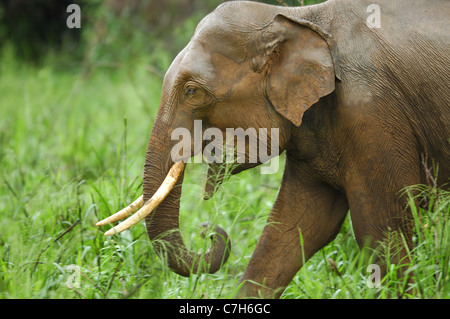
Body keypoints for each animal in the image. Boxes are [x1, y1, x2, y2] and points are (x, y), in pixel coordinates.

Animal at [98, 0, 450, 300]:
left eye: (192, 91)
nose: (210, 231)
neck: (298, 18)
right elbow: (294, 227)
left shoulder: (371, 113)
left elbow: (381, 231)